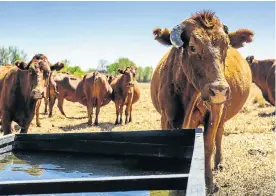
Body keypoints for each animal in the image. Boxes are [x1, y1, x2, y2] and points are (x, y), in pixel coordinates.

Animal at [151, 9, 254, 192]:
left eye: (226, 46)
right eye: (192, 47)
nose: (219, 90)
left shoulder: (214, 114)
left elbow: (207, 145)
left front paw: (208, 181)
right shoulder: (166, 117)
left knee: (219, 135)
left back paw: (219, 163)